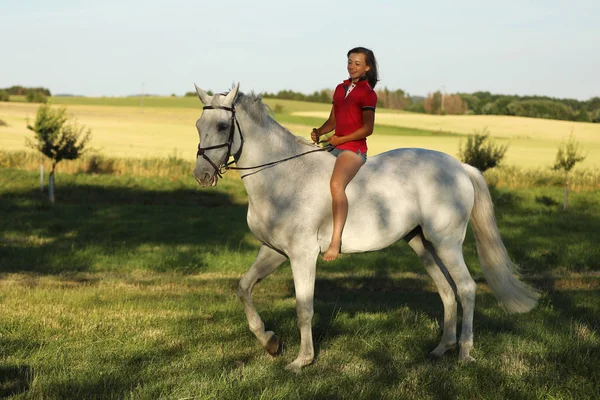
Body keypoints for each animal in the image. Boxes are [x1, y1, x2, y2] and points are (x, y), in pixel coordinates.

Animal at [193, 83, 540, 374]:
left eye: (222, 126)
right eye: (199, 125)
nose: (202, 175)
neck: (281, 176)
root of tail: (460, 168)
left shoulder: (303, 255)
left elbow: (304, 306)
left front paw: (301, 360)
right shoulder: (274, 251)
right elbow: (244, 288)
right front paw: (270, 342)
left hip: (447, 243)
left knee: (466, 288)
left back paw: (465, 353)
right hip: (423, 245)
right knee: (446, 291)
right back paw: (442, 348)